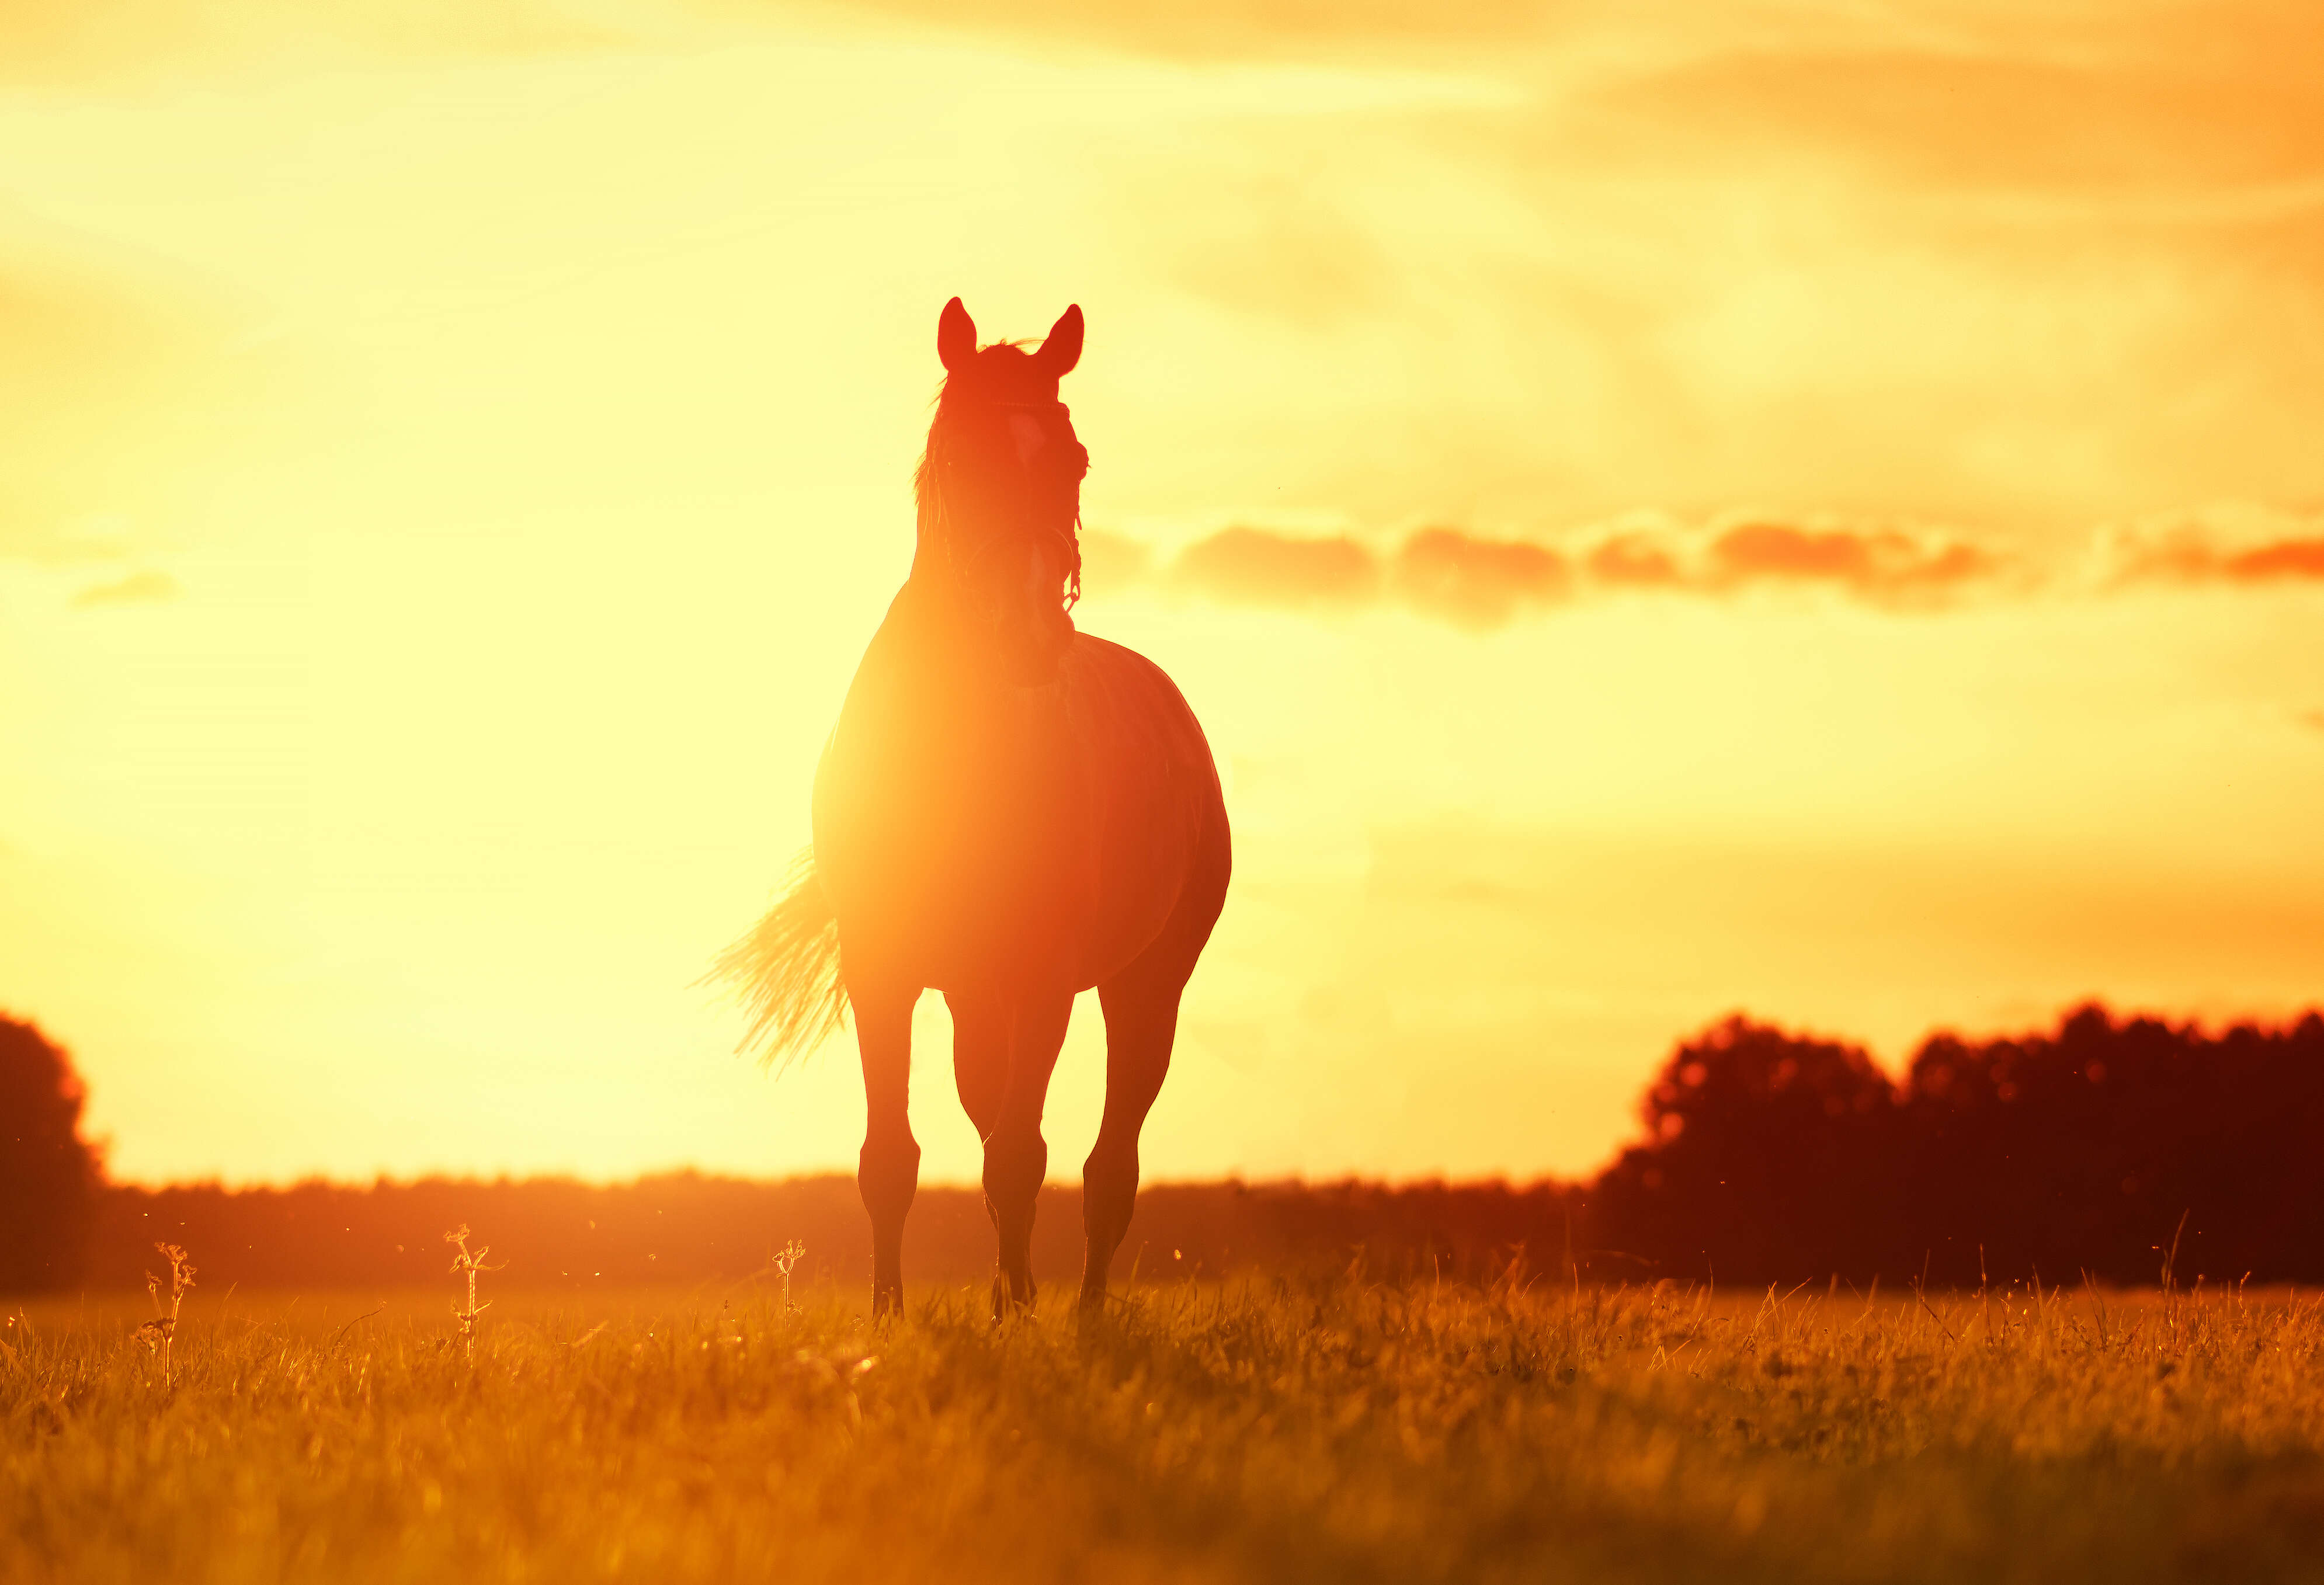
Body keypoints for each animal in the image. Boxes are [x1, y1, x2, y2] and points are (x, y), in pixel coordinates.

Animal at [714, 298, 1232, 1318]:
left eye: (1073, 460)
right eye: (963, 458)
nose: (1030, 631)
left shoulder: (1044, 979)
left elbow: (1021, 1155)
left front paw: (1017, 1318)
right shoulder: (882, 969)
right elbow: (892, 1159)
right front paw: (889, 1316)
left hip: (1145, 986)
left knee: (1106, 1163)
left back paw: (1080, 1313)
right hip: (973, 999)